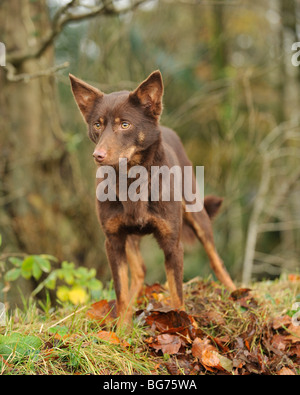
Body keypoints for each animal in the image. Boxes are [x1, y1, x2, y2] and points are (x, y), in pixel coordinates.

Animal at [69, 72, 236, 328]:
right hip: (130, 237)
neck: (131, 181)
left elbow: (177, 294)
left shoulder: (172, 244)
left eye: (125, 124)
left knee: (216, 261)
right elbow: (121, 291)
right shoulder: (114, 241)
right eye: (97, 124)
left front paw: (187, 328)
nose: (98, 155)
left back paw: (237, 293)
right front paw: (122, 330)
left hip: (197, 215)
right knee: (139, 271)